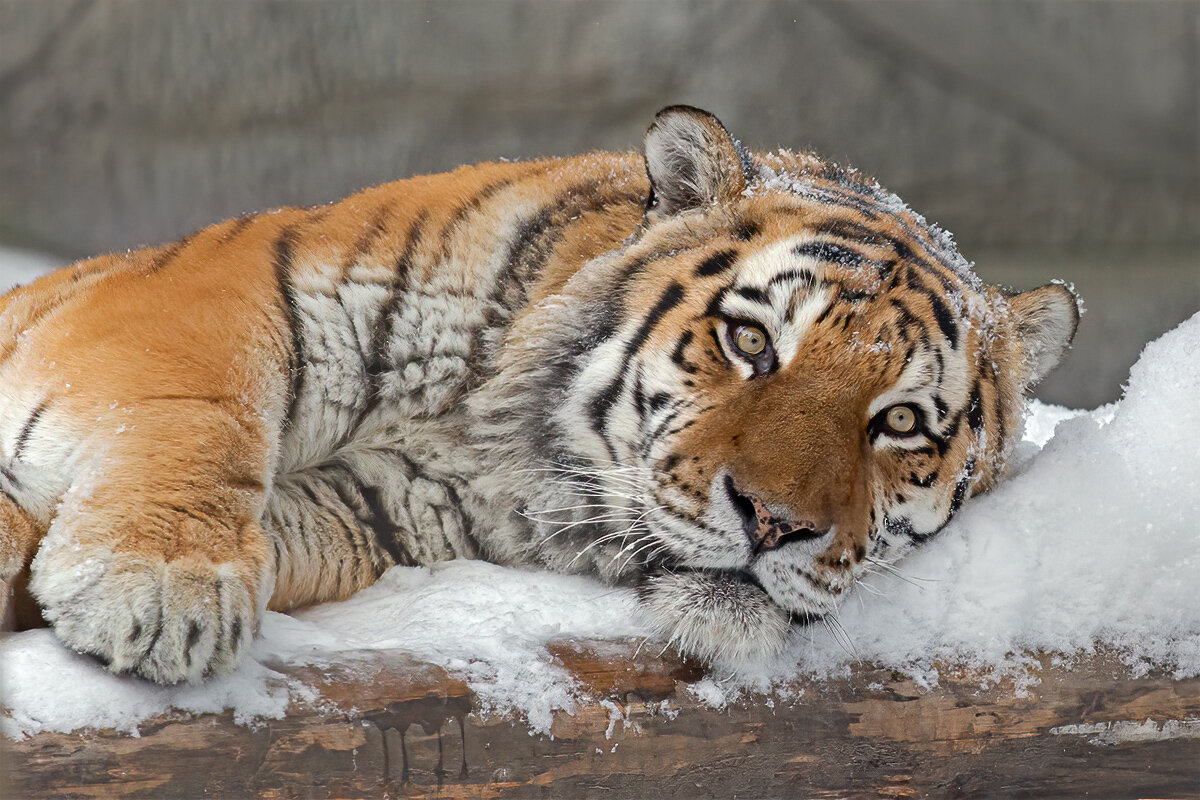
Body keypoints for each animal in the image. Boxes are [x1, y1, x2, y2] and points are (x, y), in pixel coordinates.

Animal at [0, 104, 1080, 681]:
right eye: (749, 342)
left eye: (899, 423)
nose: (776, 523)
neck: (495, 448)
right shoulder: (207, 298)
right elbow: (197, 418)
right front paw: (160, 585)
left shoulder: (376, 510)